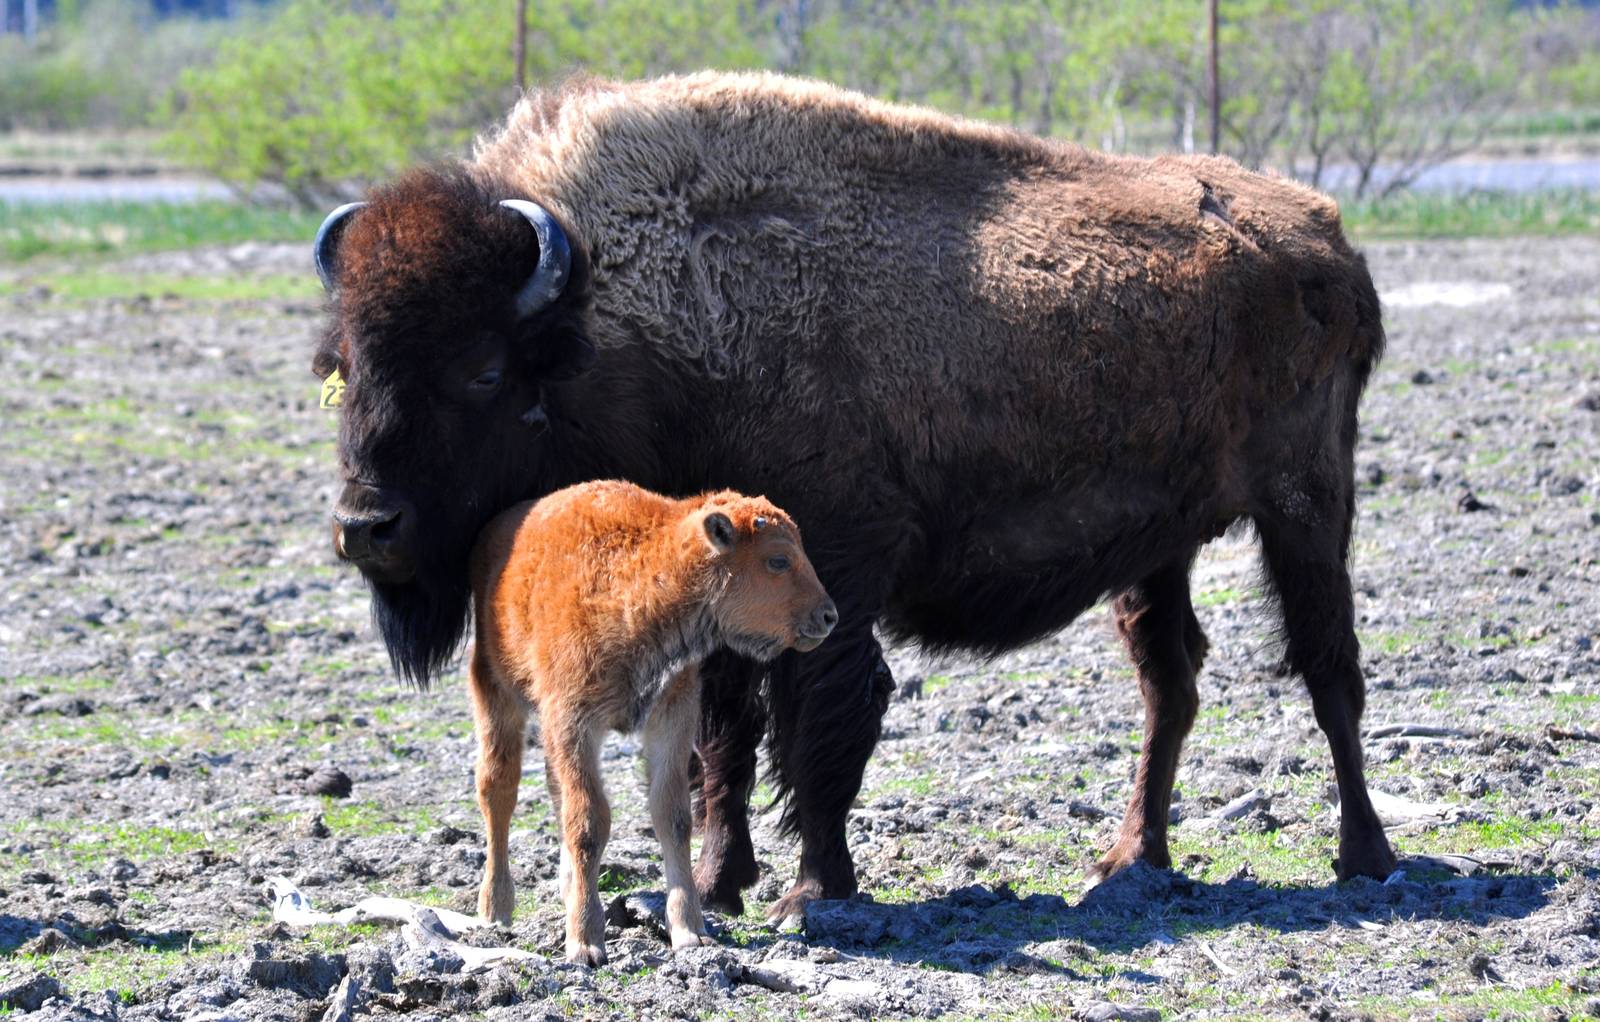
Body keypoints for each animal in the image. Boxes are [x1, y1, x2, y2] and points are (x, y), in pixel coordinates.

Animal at [313, 71, 1399, 923]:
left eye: (484, 369)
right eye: (344, 366)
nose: (367, 527)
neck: (631, 305)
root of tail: (1329, 242)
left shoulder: (836, 570)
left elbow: (824, 720)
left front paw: (811, 892)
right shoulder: (723, 601)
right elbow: (725, 742)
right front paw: (722, 883)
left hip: (1306, 506)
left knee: (1328, 668)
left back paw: (1365, 857)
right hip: (1157, 549)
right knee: (1170, 683)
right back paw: (1133, 860)